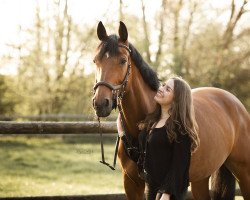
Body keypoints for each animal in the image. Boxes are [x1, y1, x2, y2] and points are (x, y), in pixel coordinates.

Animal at [92, 21, 250, 199]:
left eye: (123, 60)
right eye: (95, 61)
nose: (100, 103)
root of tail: (235, 102)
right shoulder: (131, 184)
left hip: (244, 172)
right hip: (201, 178)